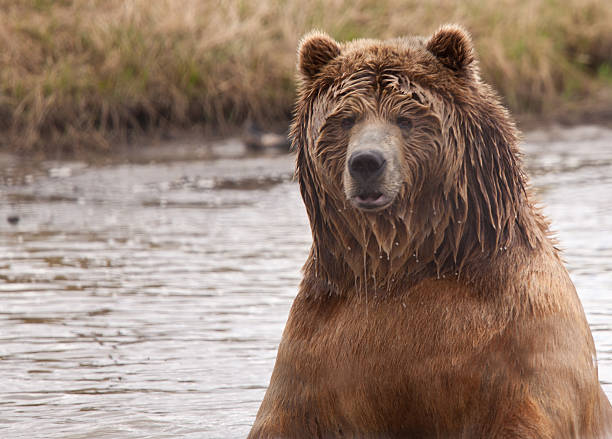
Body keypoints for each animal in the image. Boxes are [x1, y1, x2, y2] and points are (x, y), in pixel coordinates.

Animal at [246, 24, 608, 439]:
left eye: (405, 118)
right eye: (347, 119)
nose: (366, 162)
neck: (402, 265)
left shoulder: (520, 343)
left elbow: (522, 414)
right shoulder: (317, 350)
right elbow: (284, 417)